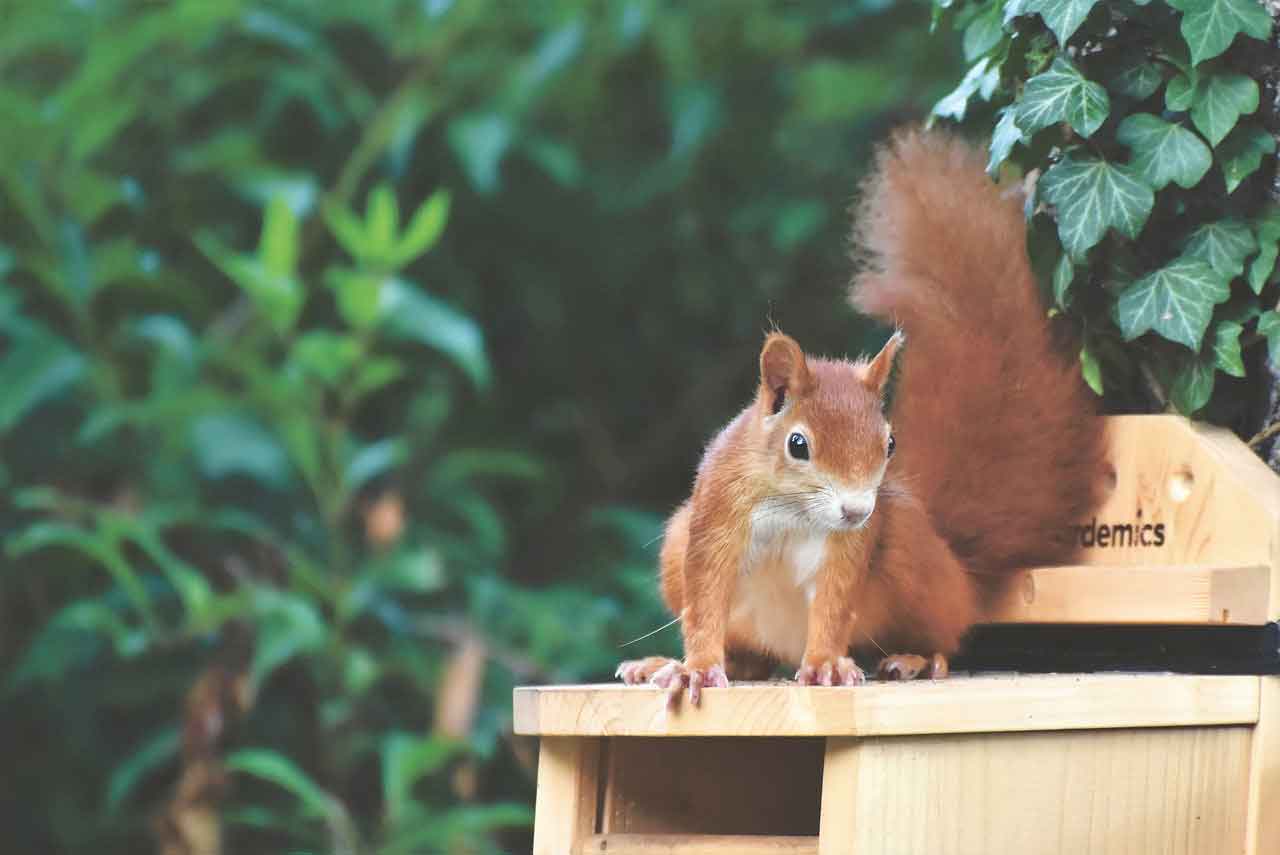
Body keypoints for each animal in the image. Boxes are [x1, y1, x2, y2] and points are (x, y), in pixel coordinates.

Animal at [614, 128, 1105, 701]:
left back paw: (915, 658)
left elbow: (835, 602)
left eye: (889, 443)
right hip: (679, 548)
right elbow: (705, 597)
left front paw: (827, 663)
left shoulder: (851, 547)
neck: (792, 511)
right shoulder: (717, 513)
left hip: (912, 555)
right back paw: (667, 663)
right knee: (752, 661)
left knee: (945, 636)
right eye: (797, 444)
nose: (855, 510)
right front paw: (694, 667)